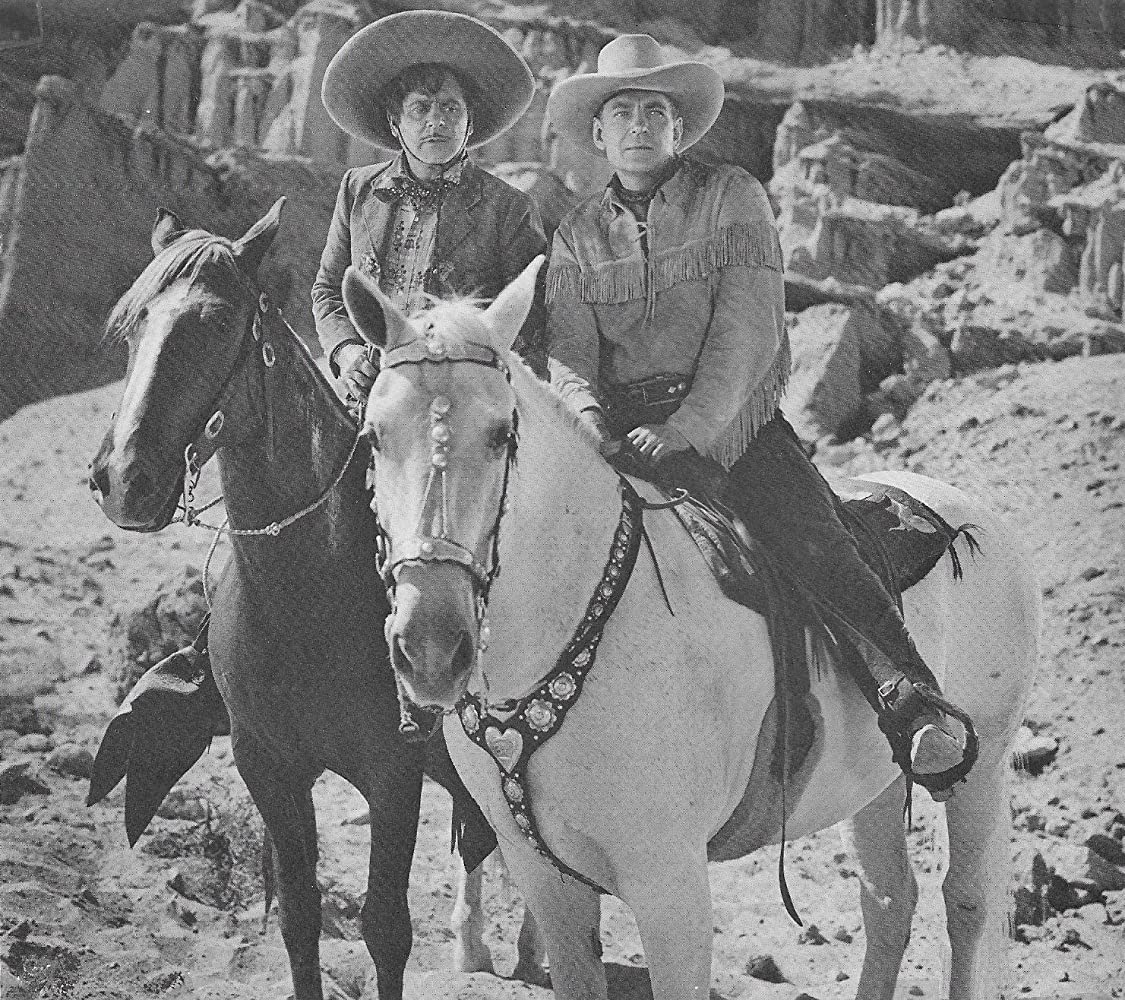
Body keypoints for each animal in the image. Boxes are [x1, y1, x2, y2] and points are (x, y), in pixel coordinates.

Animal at [86, 201, 544, 1000]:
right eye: (133, 323)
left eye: (215, 322)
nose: (122, 480)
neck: (309, 596)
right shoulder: (267, 765)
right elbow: (299, 916)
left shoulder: (393, 772)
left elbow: (385, 926)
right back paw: (474, 946)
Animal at [340, 256, 1040, 1000]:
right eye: (373, 436)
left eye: (501, 434)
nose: (431, 646)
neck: (574, 628)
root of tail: (970, 513)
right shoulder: (549, 884)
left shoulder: (668, 885)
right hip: (875, 784)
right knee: (888, 901)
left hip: (984, 762)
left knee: (966, 903)